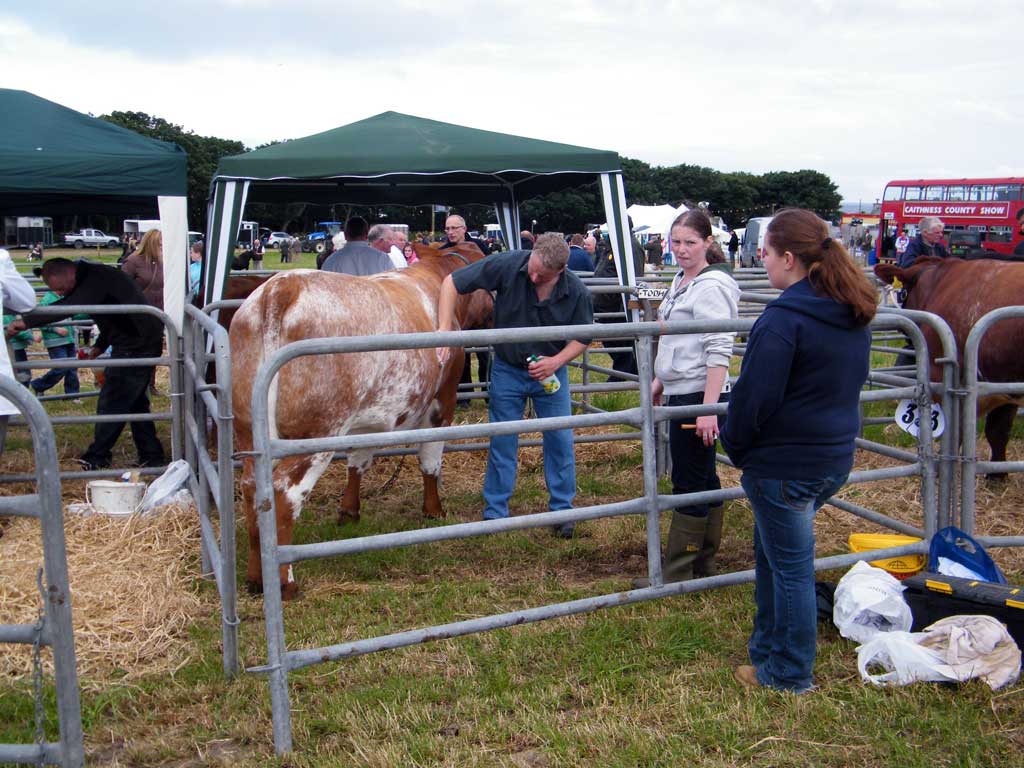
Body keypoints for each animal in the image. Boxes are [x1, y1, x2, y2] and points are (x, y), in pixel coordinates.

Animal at [231, 243, 487, 598]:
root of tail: (282, 287)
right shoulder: (442, 404)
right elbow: (430, 461)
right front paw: (434, 510)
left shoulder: (367, 421)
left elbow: (358, 461)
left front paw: (349, 511)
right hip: (316, 435)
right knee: (283, 494)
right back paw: (286, 583)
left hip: (247, 430)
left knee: (254, 490)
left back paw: (257, 578)